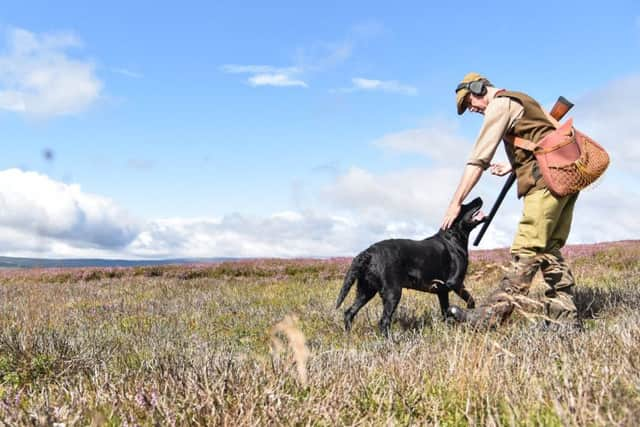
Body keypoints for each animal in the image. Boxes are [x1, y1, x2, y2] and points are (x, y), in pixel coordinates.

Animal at [336, 198, 484, 338]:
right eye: (464, 206)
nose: (479, 198)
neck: (453, 237)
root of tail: (368, 252)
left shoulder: (442, 291)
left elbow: (445, 313)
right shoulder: (455, 282)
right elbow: (471, 300)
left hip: (366, 290)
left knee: (349, 312)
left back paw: (348, 336)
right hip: (392, 292)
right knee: (383, 321)